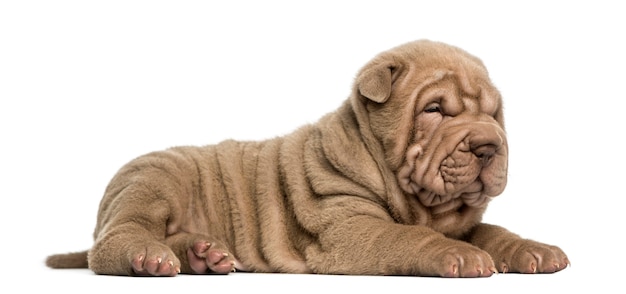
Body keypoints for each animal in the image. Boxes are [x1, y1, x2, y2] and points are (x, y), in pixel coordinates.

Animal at [46, 40, 568, 276]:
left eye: (494, 113)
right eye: (435, 109)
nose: (489, 145)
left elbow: (493, 230)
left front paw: (533, 249)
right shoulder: (350, 229)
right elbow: (407, 237)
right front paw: (459, 256)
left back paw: (203, 254)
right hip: (152, 180)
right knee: (117, 239)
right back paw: (149, 257)